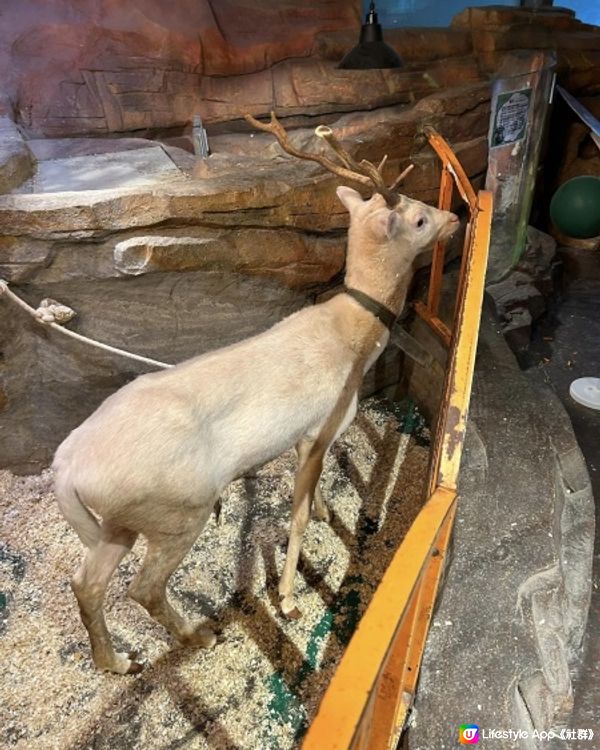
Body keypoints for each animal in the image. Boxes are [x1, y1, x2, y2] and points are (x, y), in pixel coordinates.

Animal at [52, 111, 460, 676]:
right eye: (419, 220)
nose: (455, 218)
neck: (353, 339)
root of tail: (65, 469)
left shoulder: (310, 439)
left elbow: (316, 494)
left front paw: (329, 515)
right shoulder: (316, 428)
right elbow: (297, 511)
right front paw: (287, 597)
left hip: (120, 520)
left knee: (85, 582)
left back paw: (117, 662)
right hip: (178, 508)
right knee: (141, 587)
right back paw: (198, 635)